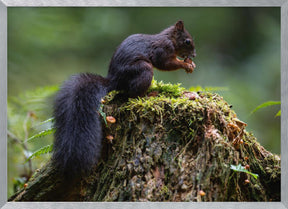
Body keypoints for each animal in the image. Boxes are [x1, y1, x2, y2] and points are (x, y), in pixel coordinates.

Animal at [52, 20, 196, 176]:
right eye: (187, 41)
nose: (194, 55)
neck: (170, 39)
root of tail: (114, 81)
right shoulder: (162, 49)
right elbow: (165, 63)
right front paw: (186, 64)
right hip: (144, 69)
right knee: (132, 94)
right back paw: (149, 94)